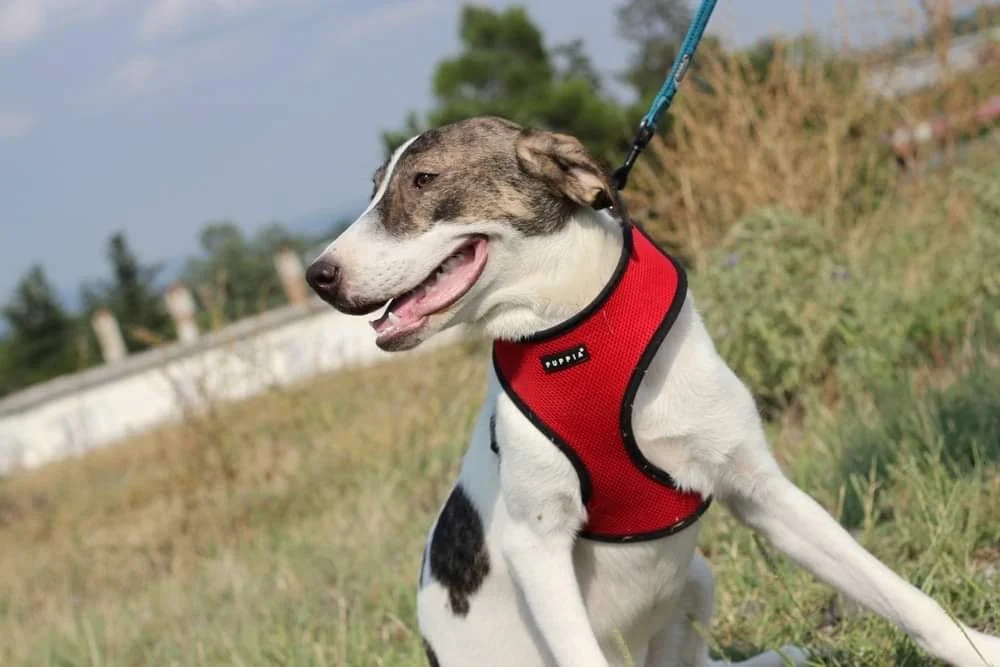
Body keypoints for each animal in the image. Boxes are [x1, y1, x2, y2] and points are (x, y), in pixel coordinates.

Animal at [306, 116, 1000, 667]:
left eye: (423, 180)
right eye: (376, 189)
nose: (319, 275)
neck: (582, 335)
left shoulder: (762, 490)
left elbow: (900, 596)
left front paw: (976, 648)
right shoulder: (537, 543)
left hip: (698, 579)